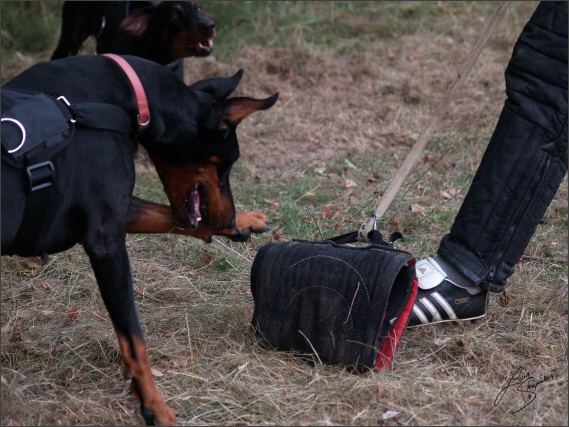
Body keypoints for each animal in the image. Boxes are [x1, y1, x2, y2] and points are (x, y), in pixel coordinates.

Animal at [1, 55, 278, 426]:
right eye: (227, 162)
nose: (229, 218)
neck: (127, 98)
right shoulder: (105, 239)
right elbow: (135, 341)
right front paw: (156, 406)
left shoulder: (118, 211)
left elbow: (169, 217)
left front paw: (243, 223)